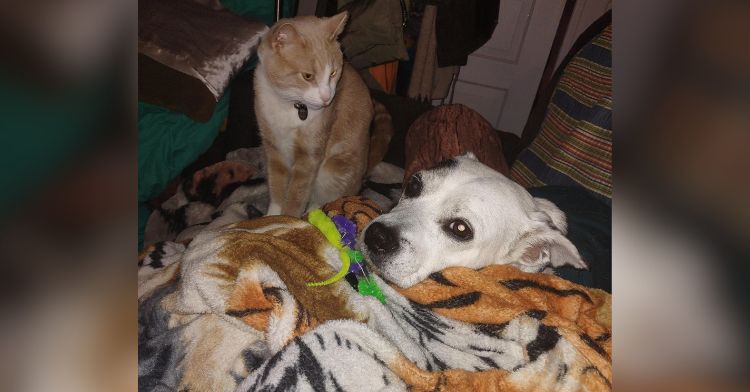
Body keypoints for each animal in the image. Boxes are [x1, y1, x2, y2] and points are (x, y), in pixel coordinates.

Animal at [254, 12, 382, 217]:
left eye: (333, 73)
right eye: (307, 76)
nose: (327, 98)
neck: (289, 105)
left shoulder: (309, 157)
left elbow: (297, 195)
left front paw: (288, 219)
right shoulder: (273, 148)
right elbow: (276, 185)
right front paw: (271, 216)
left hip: (333, 172)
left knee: (323, 200)